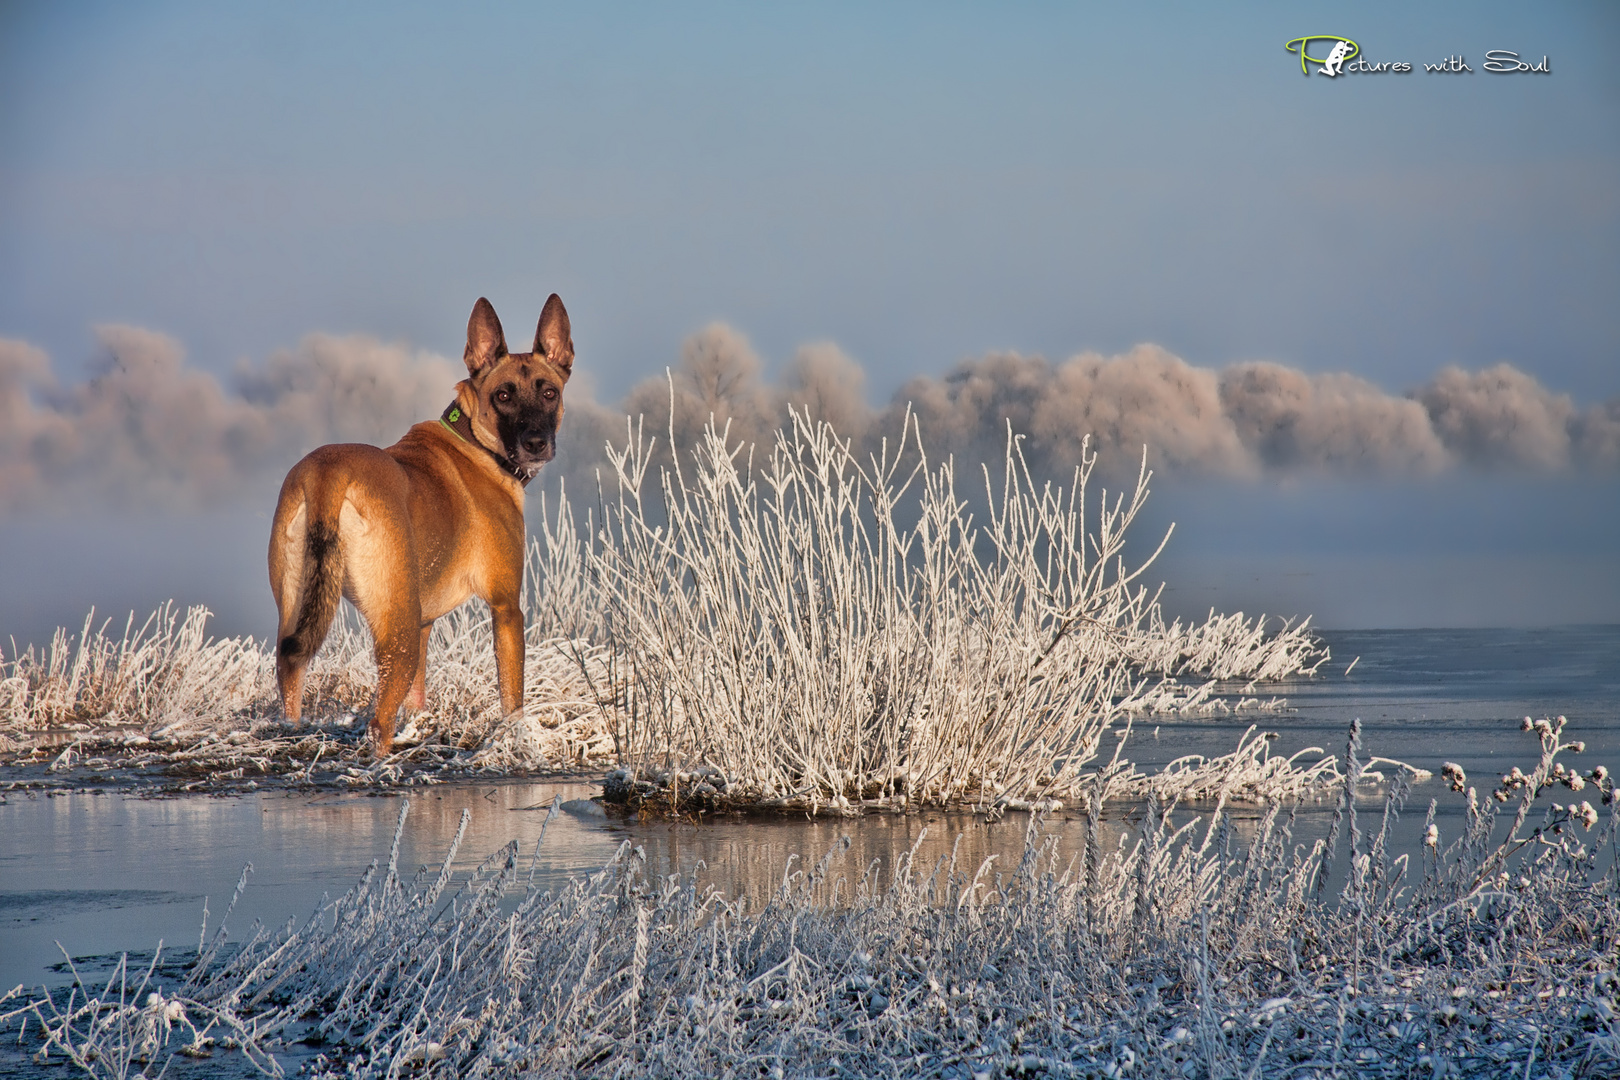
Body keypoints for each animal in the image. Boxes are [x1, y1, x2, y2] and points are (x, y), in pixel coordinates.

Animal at [265, 293, 570, 751]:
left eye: (549, 393)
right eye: (503, 395)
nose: (536, 442)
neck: (475, 442)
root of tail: (329, 472)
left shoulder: (426, 623)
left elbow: (418, 698)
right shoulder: (506, 609)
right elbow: (511, 698)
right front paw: (515, 739)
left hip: (300, 609)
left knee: (291, 671)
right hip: (400, 632)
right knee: (379, 723)